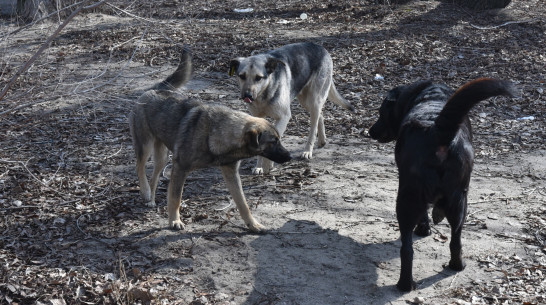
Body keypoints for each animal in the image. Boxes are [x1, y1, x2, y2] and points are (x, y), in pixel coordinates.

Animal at [130, 50, 292, 230]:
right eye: (273, 142)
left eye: (279, 139)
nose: (290, 156)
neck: (218, 133)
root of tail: (154, 89)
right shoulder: (180, 168)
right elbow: (175, 198)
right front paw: (174, 221)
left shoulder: (231, 173)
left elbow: (243, 204)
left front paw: (253, 224)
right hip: (145, 146)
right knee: (139, 167)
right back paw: (145, 191)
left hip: (162, 158)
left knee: (154, 176)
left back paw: (150, 199)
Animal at [228, 41, 352, 173]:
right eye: (242, 76)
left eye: (258, 78)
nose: (247, 95)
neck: (265, 92)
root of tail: (320, 47)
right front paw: (259, 166)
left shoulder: (284, 117)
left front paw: (268, 164)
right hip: (305, 101)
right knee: (320, 114)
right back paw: (322, 140)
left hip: (313, 100)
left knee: (313, 128)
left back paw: (307, 151)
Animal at [368, 78, 516, 290]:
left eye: (381, 113)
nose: (370, 131)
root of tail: (436, 130)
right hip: (460, 202)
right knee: (454, 240)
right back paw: (456, 265)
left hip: (409, 198)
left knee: (408, 249)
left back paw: (405, 284)